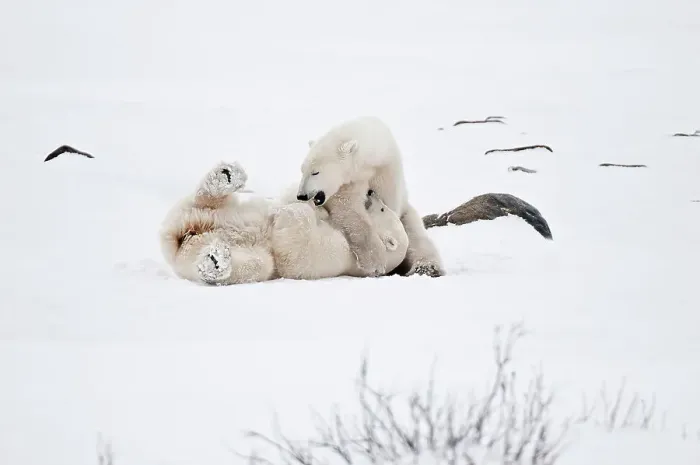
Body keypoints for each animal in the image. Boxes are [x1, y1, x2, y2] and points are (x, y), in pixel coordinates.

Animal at [159, 161, 409, 285]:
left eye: (383, 208)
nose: (371, 193)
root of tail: (185, 236)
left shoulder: (341, 255)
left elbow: (296, 254)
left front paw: (291, 214)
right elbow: (298, 199)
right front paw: (310, 203)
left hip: (197, 243)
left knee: (257, 264)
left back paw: (215, 261)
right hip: (219, 212)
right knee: (205, 201)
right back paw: (225, 176)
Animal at [295, 116, 445, 278]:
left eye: (315, 172)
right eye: (302, 170)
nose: (301, 195)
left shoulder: (386, 171)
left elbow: (388, 203)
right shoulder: (352, 181)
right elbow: (349, 209)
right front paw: (375, 261)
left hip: (410, 216)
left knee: (418, 237)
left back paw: (426, 267)